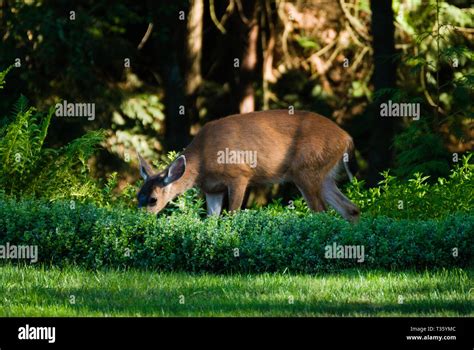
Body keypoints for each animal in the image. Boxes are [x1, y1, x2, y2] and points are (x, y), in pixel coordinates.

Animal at [136, 109, 360, 221]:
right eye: (137, 197)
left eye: (153, 200)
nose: (140, 221)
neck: (202, 162)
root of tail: (347, 138)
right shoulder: (212, 189)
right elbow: (212, 220)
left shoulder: (239, 175)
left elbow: (232, 214)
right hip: (323, 175)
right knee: (351, 208)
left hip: (306, 170)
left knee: (321, 211)